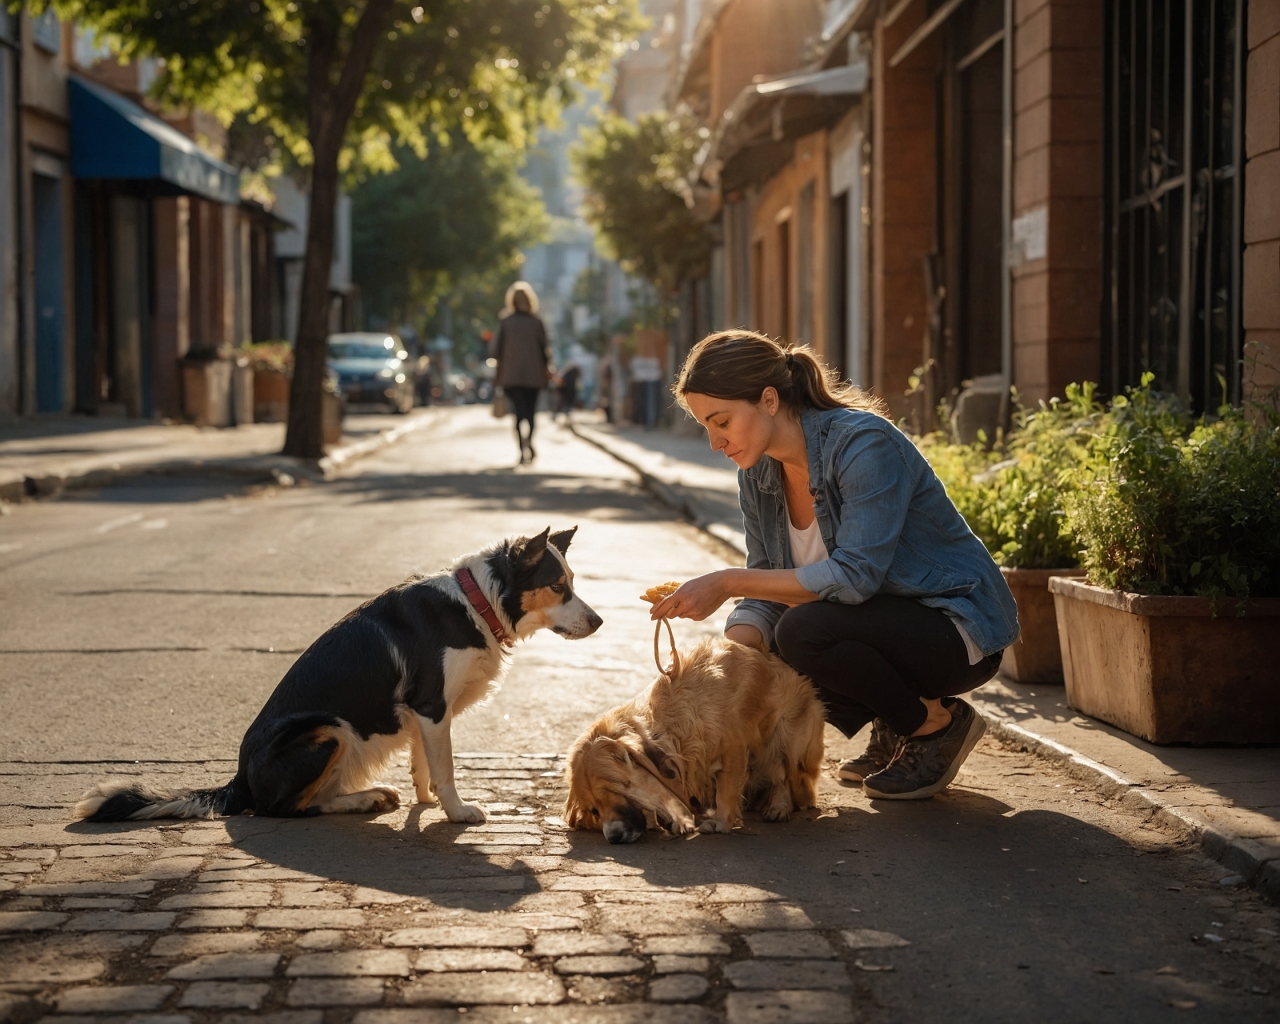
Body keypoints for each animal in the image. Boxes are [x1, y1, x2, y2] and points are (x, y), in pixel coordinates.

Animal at [76, 527, 599, 824]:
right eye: (558, 586)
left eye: (574, 583)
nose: (598, 622)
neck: (477, 602)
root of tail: (239, 778)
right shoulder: (431, 705)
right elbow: (446, 767)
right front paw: (456, 812)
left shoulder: (424, 713)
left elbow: (424, 765)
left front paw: (427, 802)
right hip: (329, 730)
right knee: (286, 809)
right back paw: (362, 801)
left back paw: (371, 797)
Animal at [565, 640, 824, 839]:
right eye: (594, 810)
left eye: (616, 790)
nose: (614, 836)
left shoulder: (734, 749)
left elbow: (727, 788)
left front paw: (720, 821)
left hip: (788, 738)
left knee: (783, 777)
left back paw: (779, 806)